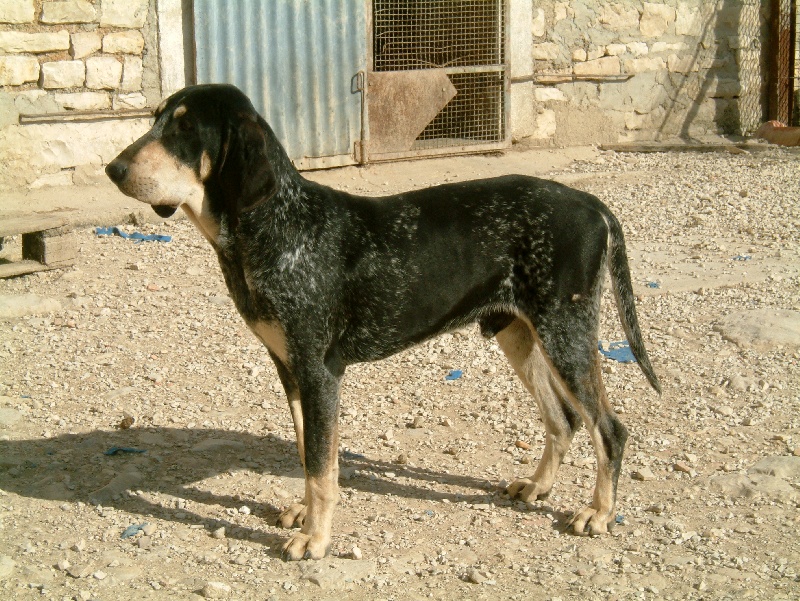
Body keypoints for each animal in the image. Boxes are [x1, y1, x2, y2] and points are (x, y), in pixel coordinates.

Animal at [106, 85, 660, 564]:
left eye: (184, 128)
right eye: (155, 118)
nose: (112, 168)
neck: (278, 224)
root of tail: (591, 204)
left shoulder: (319, 372)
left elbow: (321, 468)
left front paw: (316, 538)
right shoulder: (291, 371)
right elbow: (310, 454)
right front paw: (307, 515)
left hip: (566, 333)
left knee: (609, 429)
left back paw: (599, 513)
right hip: (519, 333)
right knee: (563, 419)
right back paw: (539, 486)